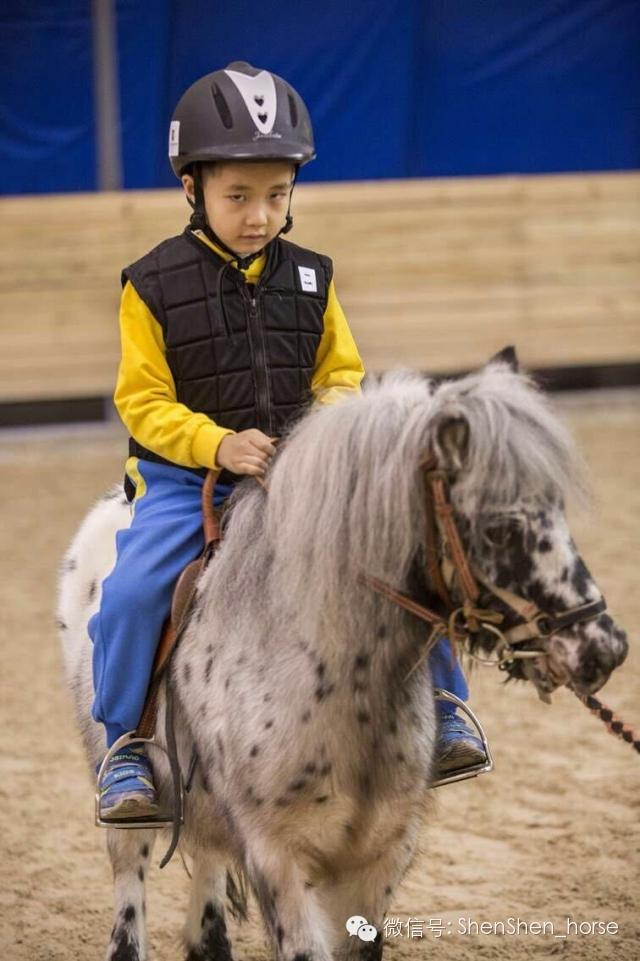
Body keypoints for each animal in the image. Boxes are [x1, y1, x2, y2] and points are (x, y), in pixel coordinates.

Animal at [57, 350, 628, 960]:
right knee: (129, 885)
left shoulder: (381, 858)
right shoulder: (279, 861)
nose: (605, 648)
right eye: (500, 530)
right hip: (123, 800)